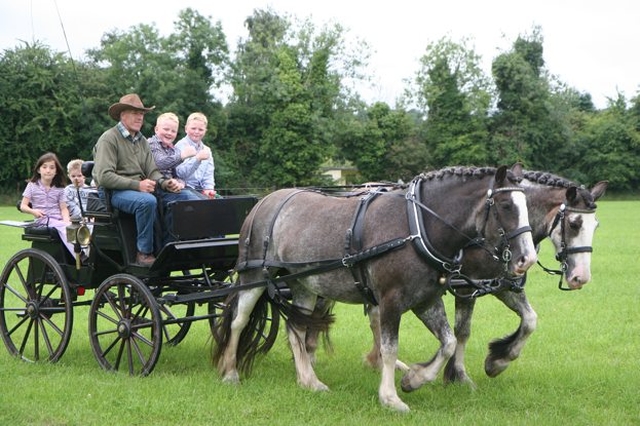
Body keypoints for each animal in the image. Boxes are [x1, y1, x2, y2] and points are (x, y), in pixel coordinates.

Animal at [212, 165, 536, 412]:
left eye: (528, 207)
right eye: (506, 206)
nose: (527, 259)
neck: (418, 226)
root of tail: (263, 202)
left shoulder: (426, 300)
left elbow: (448, 342)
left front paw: (414, 379)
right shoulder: (391, 300)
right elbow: (389, 349)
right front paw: (390, 397)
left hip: (303, 284)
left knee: (297, 330)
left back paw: (309, 381)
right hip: (253, 274)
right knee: (239, 320)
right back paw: (230, 372)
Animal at [316, 171, 608, 386]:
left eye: (595, 225)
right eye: (574, 224)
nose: (580, 277)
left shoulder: (502, 284)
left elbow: (530, 320)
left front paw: (498, 361)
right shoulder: (468, 288)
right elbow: (462, 331)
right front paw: (458, 375)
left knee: (375, 319)